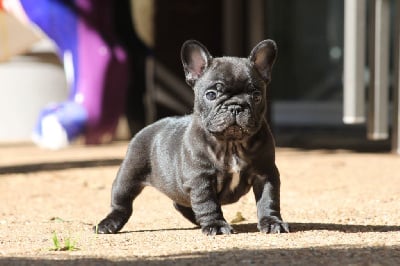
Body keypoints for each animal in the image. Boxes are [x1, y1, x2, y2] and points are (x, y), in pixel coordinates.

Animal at [94, 39, 288, 235]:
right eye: (211, 95)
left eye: (256, 96)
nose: (235, 106)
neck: (231, 144)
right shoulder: (200, 179)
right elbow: (208, 204)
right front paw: (216, 225)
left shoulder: (265, 174)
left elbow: (268, 200)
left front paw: (272, 222)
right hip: (128, 174)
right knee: (121, 201)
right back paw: (108, 223)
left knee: (182, 203)